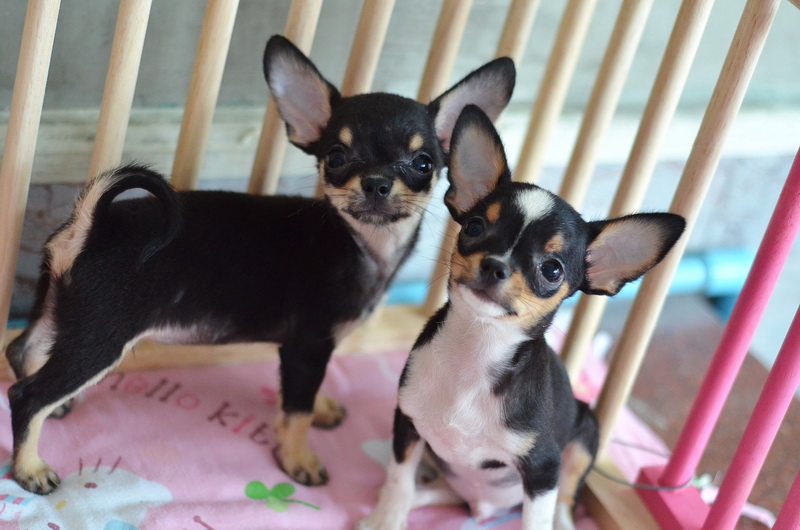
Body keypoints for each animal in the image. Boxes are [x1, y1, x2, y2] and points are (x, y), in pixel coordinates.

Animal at [4, 36, 516, 494]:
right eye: (336, 157)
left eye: (423, 163)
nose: (375, 182)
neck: (361, 244)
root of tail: (91, 223)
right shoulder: (307, 346)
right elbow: (296, 410)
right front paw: (298, 459)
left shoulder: (308, 349)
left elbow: (301, 397)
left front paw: (322, 408)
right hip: (101, 337)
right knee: (26, 395)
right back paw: (30, 466)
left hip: (62, 312)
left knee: (22, 351)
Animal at [359, 105, 686, 530]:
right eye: (475, 227)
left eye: (552, 270)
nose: (496, 265)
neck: (476, 352)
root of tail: (483, 509)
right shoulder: (408, 424)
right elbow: (399, 481)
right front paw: (386, 519)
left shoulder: (543, 469)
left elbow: (538, 518)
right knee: (429, 490)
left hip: (584, 437)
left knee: (566, 501)